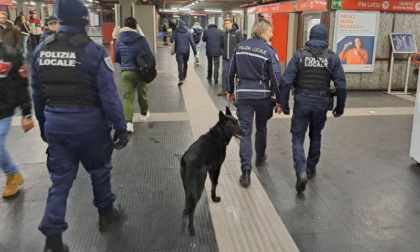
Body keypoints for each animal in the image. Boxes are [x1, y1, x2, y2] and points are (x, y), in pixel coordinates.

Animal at [180, 106, 246, 236]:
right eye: (232, 124)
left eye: (237, 121)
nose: (245, 131)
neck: (219, 134)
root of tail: (186, 160)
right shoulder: (216, 167)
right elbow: (215, 183)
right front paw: (214, 198)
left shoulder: (211, 169)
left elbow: (213, 183)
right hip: (198, 186)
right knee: (191, 208)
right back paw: (191, 228)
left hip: (187, 187)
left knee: (187, 206)